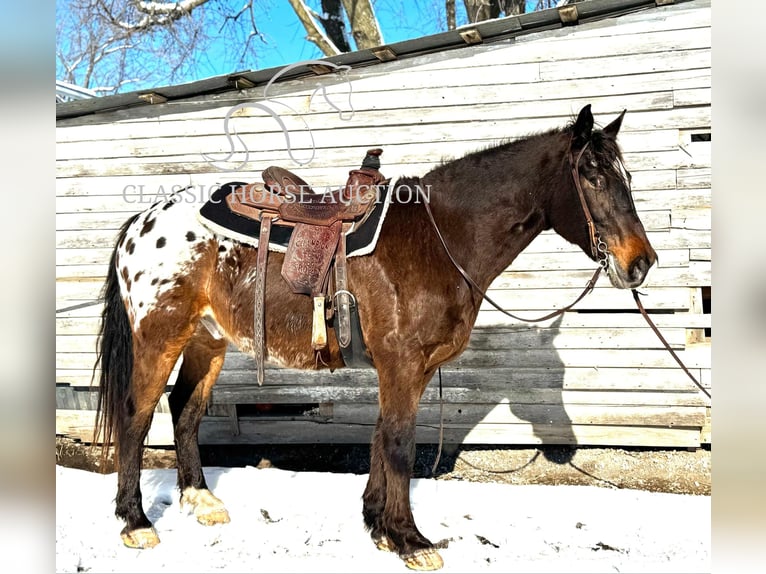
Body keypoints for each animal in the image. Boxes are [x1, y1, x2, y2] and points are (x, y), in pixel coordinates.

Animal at [93, 107, 656, 572]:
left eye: (627, 176)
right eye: (593, 176)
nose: (641, 263)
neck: (439, 238)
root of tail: (140, 223)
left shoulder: (410, 368)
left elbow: (383, 438)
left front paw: (379, 526)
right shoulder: (401, 363)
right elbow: (402, 445)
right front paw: (410, 540)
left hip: (206, 340)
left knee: (184, 408)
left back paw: (200, 499)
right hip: (160, 337)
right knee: (136, 414)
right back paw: (135, 522)